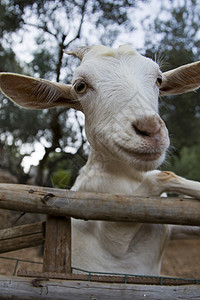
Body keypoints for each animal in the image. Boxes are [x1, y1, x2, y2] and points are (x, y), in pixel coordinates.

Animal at [0, 43, 200, 276]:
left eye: (159, 79)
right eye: (80, 86)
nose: (150, 130)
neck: (127, 177)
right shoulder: (110, 223)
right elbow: (162, 175)